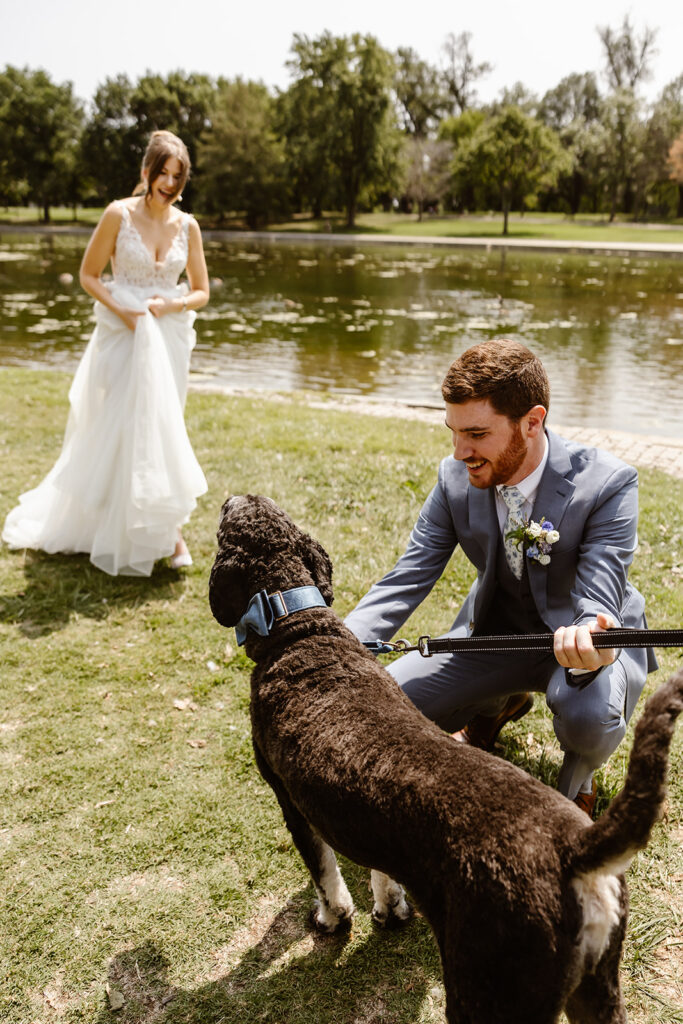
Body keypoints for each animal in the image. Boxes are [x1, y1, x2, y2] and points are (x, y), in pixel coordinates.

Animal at [209, 495, 683, 1024]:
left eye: (225, 520)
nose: (231, 497)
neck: (299, 633)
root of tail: (577, 850)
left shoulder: (290, 799)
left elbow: (325, 872)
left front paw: (333, 917)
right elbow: (379, 868)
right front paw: (389, 906)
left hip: (486, 990)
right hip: (597, 986)